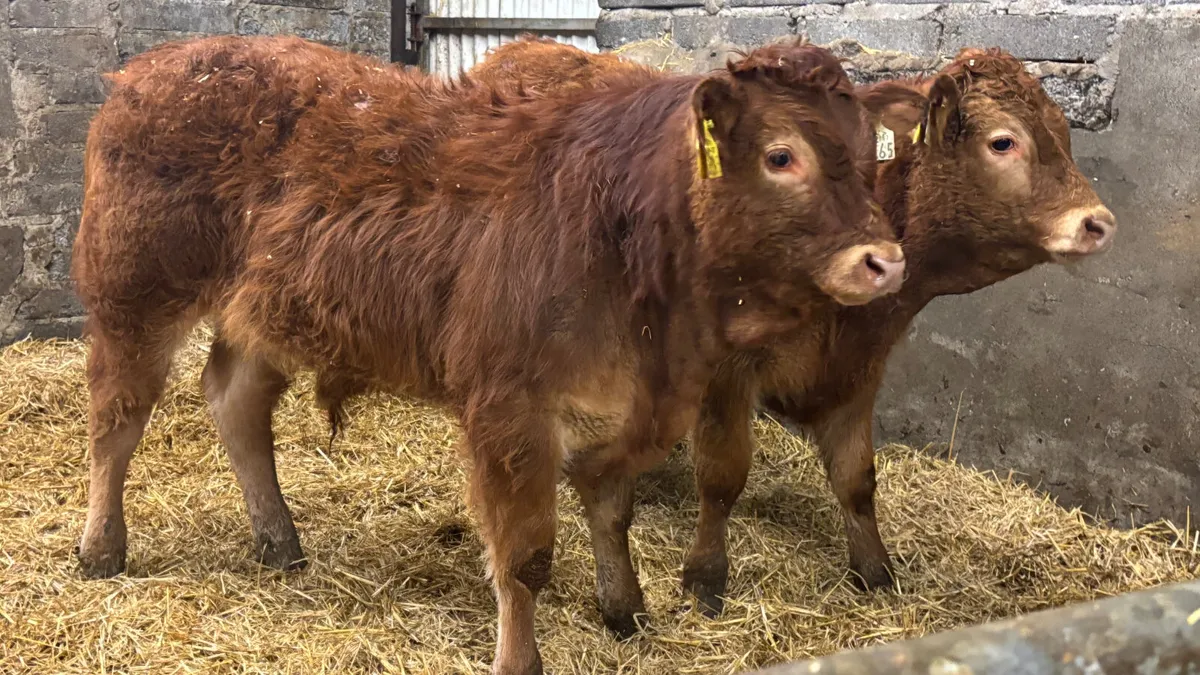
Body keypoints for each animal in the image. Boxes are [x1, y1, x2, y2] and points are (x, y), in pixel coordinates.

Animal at [71, 35, 903, 673]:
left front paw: (625, 607)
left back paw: (278, 538)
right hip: (133, 292)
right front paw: (521, 657)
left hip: (264, 311)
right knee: (117, 419)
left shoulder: (625, 400)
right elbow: (526, 554)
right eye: (781, 155)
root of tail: (160, 63)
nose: (884, 260)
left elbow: (613, 508)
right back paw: (102, 546)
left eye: (871, 156)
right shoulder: (509, 410)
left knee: (236, 400)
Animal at [469, 39, 1117, 621]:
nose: (1099, 223)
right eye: (1003, 140)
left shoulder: (862, 365)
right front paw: (705, 578)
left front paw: (875, 570)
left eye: (1063, 132)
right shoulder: (728, 373)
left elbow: (857, 478)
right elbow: (723, 476)